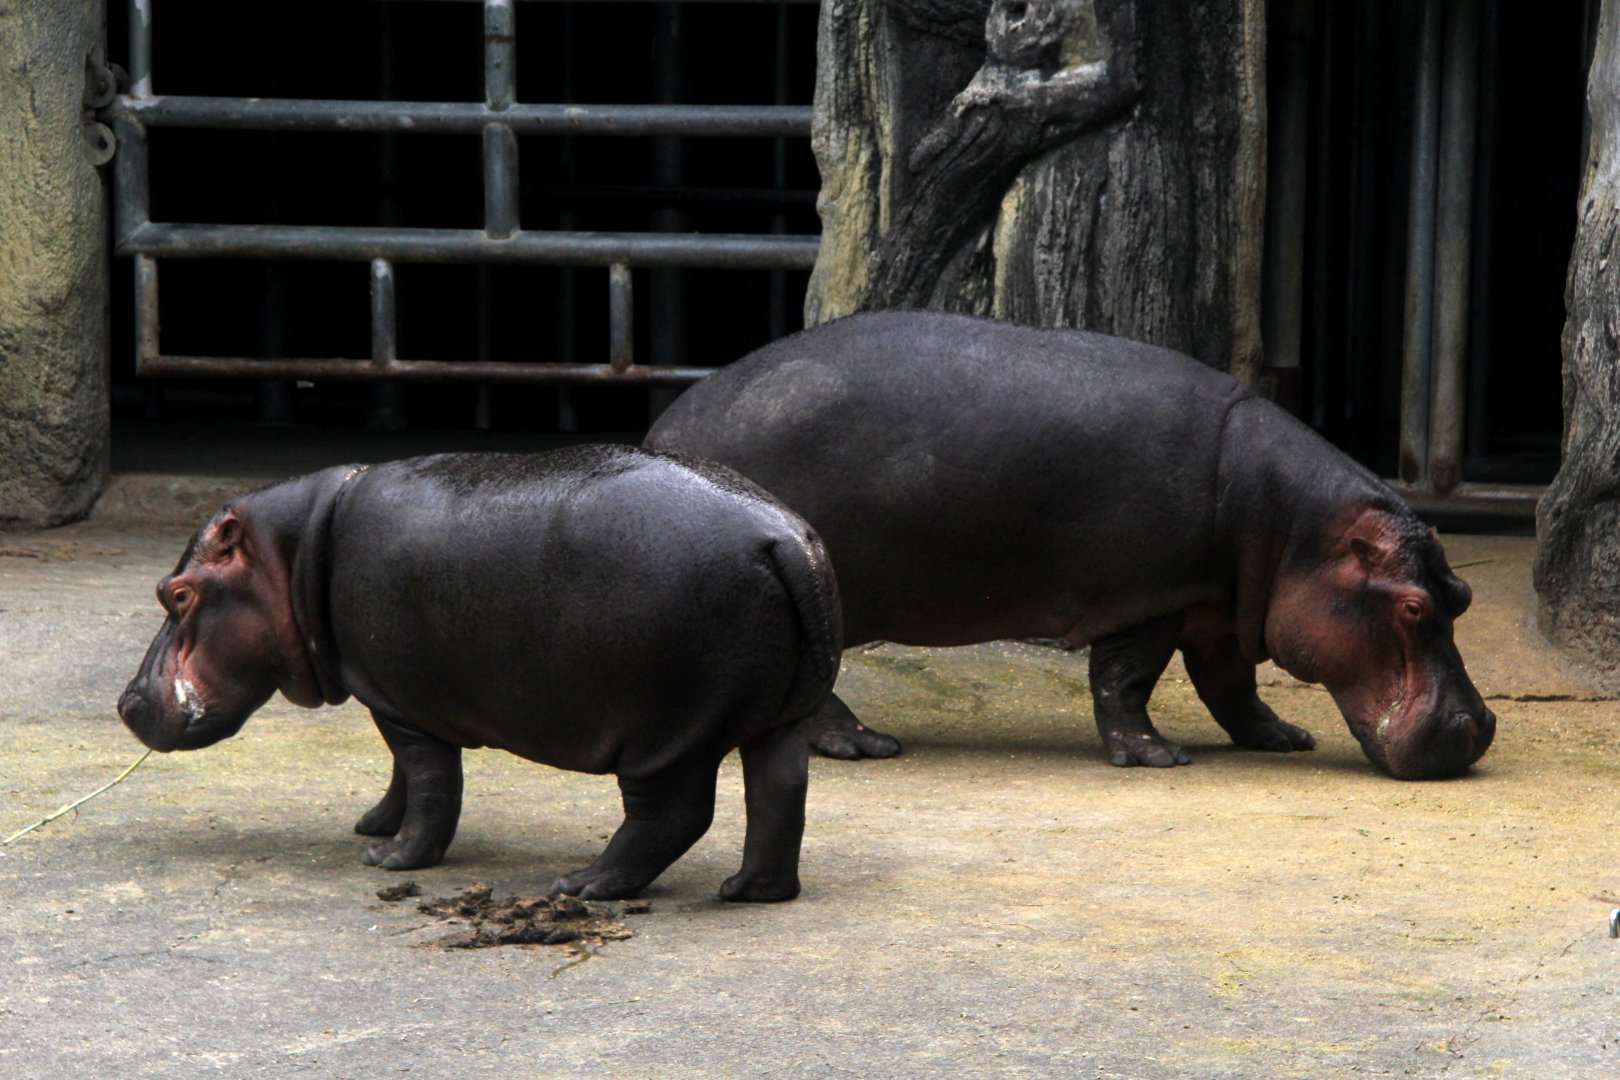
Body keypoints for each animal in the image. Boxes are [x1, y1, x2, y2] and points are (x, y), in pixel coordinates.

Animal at [117, 447, 842, 902]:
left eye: (176, 593)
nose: (126, 703)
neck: (295, 551)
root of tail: (784, 539)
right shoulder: (395, 696)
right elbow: (402, 778)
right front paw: (373, 824)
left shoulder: (401, 704)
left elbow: (431, 784)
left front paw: (389, 858)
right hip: (783, 717)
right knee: (781, 791)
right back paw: (751, 891)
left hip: (666, 733)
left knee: (672, 815)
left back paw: (582, 885)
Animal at [646, 311, 1495, 780]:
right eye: (1412, 607)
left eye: (1462, 596)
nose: (1479, 728)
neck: (1295, 528)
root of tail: (666, 428)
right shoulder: (1147, 597)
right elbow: (1126, 681)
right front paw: (1157, 759)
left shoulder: (1216, 604)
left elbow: (1231, 686)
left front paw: (1283, 738)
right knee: (816, 686)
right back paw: (868, 745)